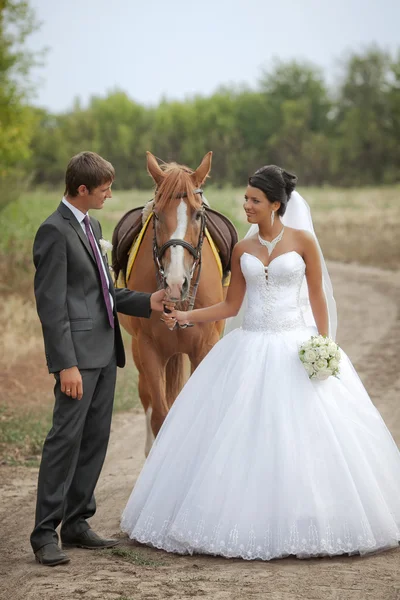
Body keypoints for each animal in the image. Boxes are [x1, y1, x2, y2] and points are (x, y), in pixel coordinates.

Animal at [118, 151, 225, 454]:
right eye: (156, 214)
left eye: (198, 214)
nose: (176, 283)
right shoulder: (148, 349)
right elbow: (161, 416)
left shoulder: (205, 346)